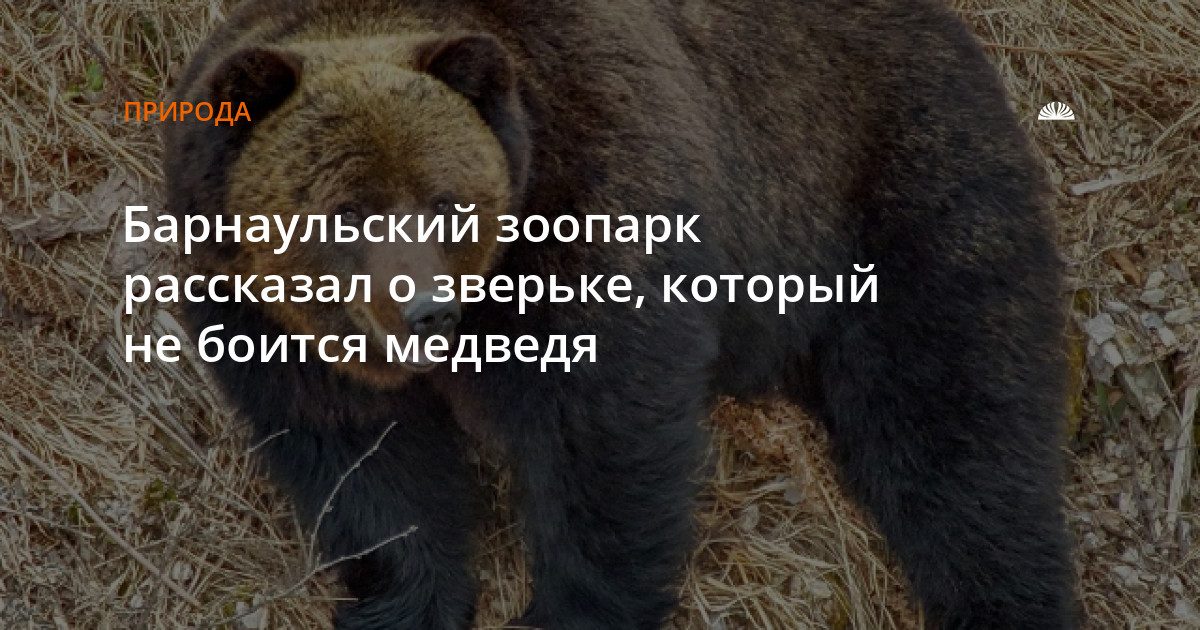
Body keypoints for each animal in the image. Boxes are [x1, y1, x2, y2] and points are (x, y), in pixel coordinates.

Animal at [162, 0, 1075, 628]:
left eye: (446, 200)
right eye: (346, 210)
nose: (426, 312)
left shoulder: (597, 191)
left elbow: (602, 433)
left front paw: (565, 610)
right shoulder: (264, 319)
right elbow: (366, 462)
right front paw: (398, 602)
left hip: (887, 180)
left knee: (957, 424)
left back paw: (1005, 596)